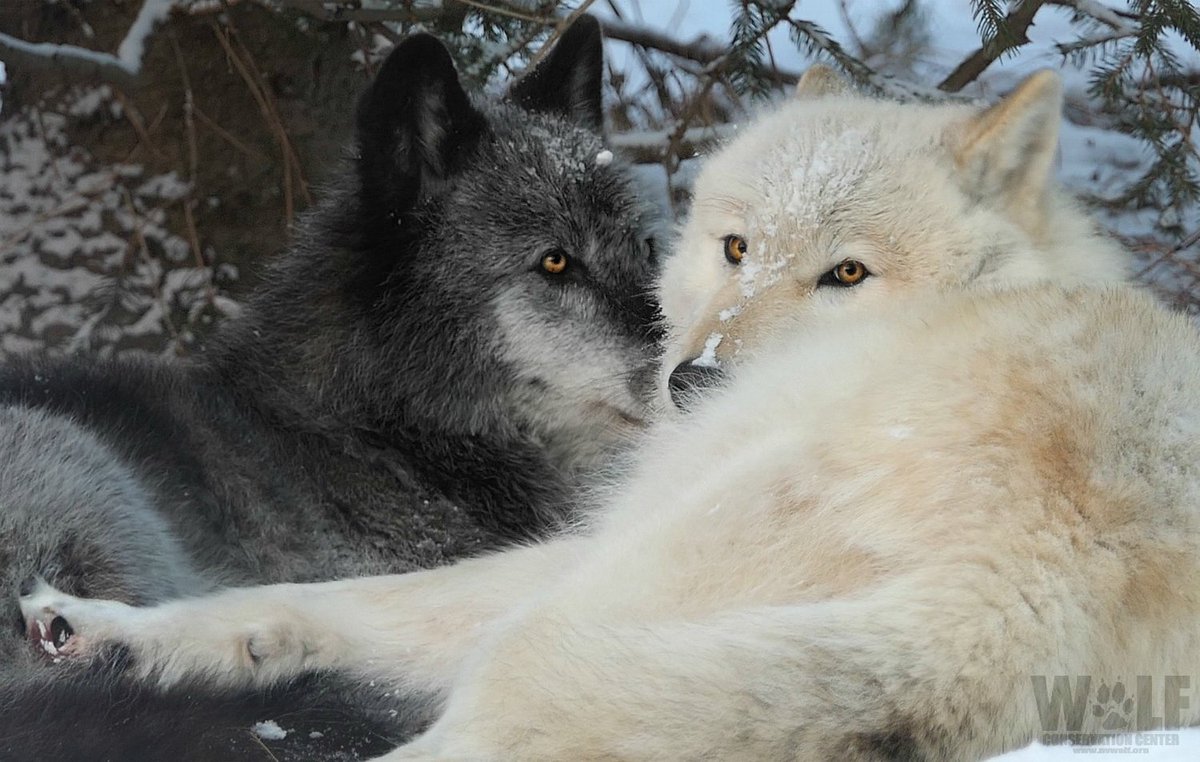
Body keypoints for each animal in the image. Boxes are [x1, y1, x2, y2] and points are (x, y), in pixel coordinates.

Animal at [23, 69, 1200, 761]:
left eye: (848, 273)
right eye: (734, 248)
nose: (692, 382)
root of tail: (1047, 576)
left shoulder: (591, 543)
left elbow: (356, 605)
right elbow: (310, 604)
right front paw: (112, 634)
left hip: (615, 581)